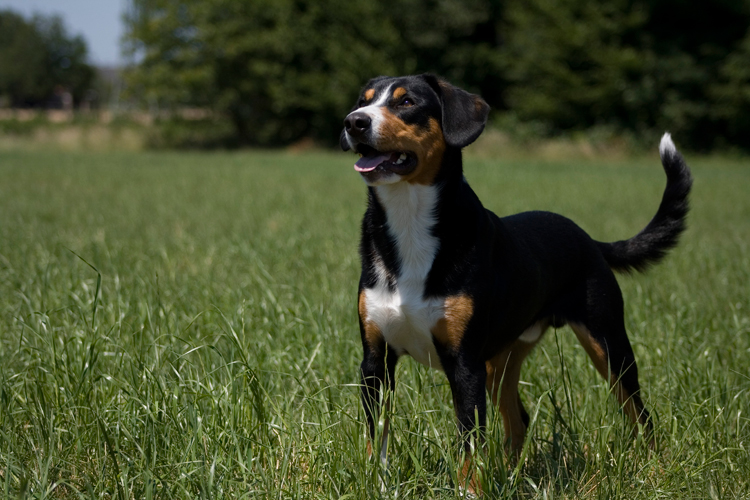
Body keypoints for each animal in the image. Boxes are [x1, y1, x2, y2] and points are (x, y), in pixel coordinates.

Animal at [340, 74, 692, 492]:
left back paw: (654, 470)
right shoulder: (375, 360)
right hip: (501, 364)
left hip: (608, 345)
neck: (408, 223)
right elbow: (375, 435)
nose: (354, 122)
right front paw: (375, 484)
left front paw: (468, 491)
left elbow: (469, 442)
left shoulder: (465, 364)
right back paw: (511, 475)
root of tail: (589, 239)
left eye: (406, 101)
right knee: (519, 421)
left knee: (640, 414)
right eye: (362, 101)